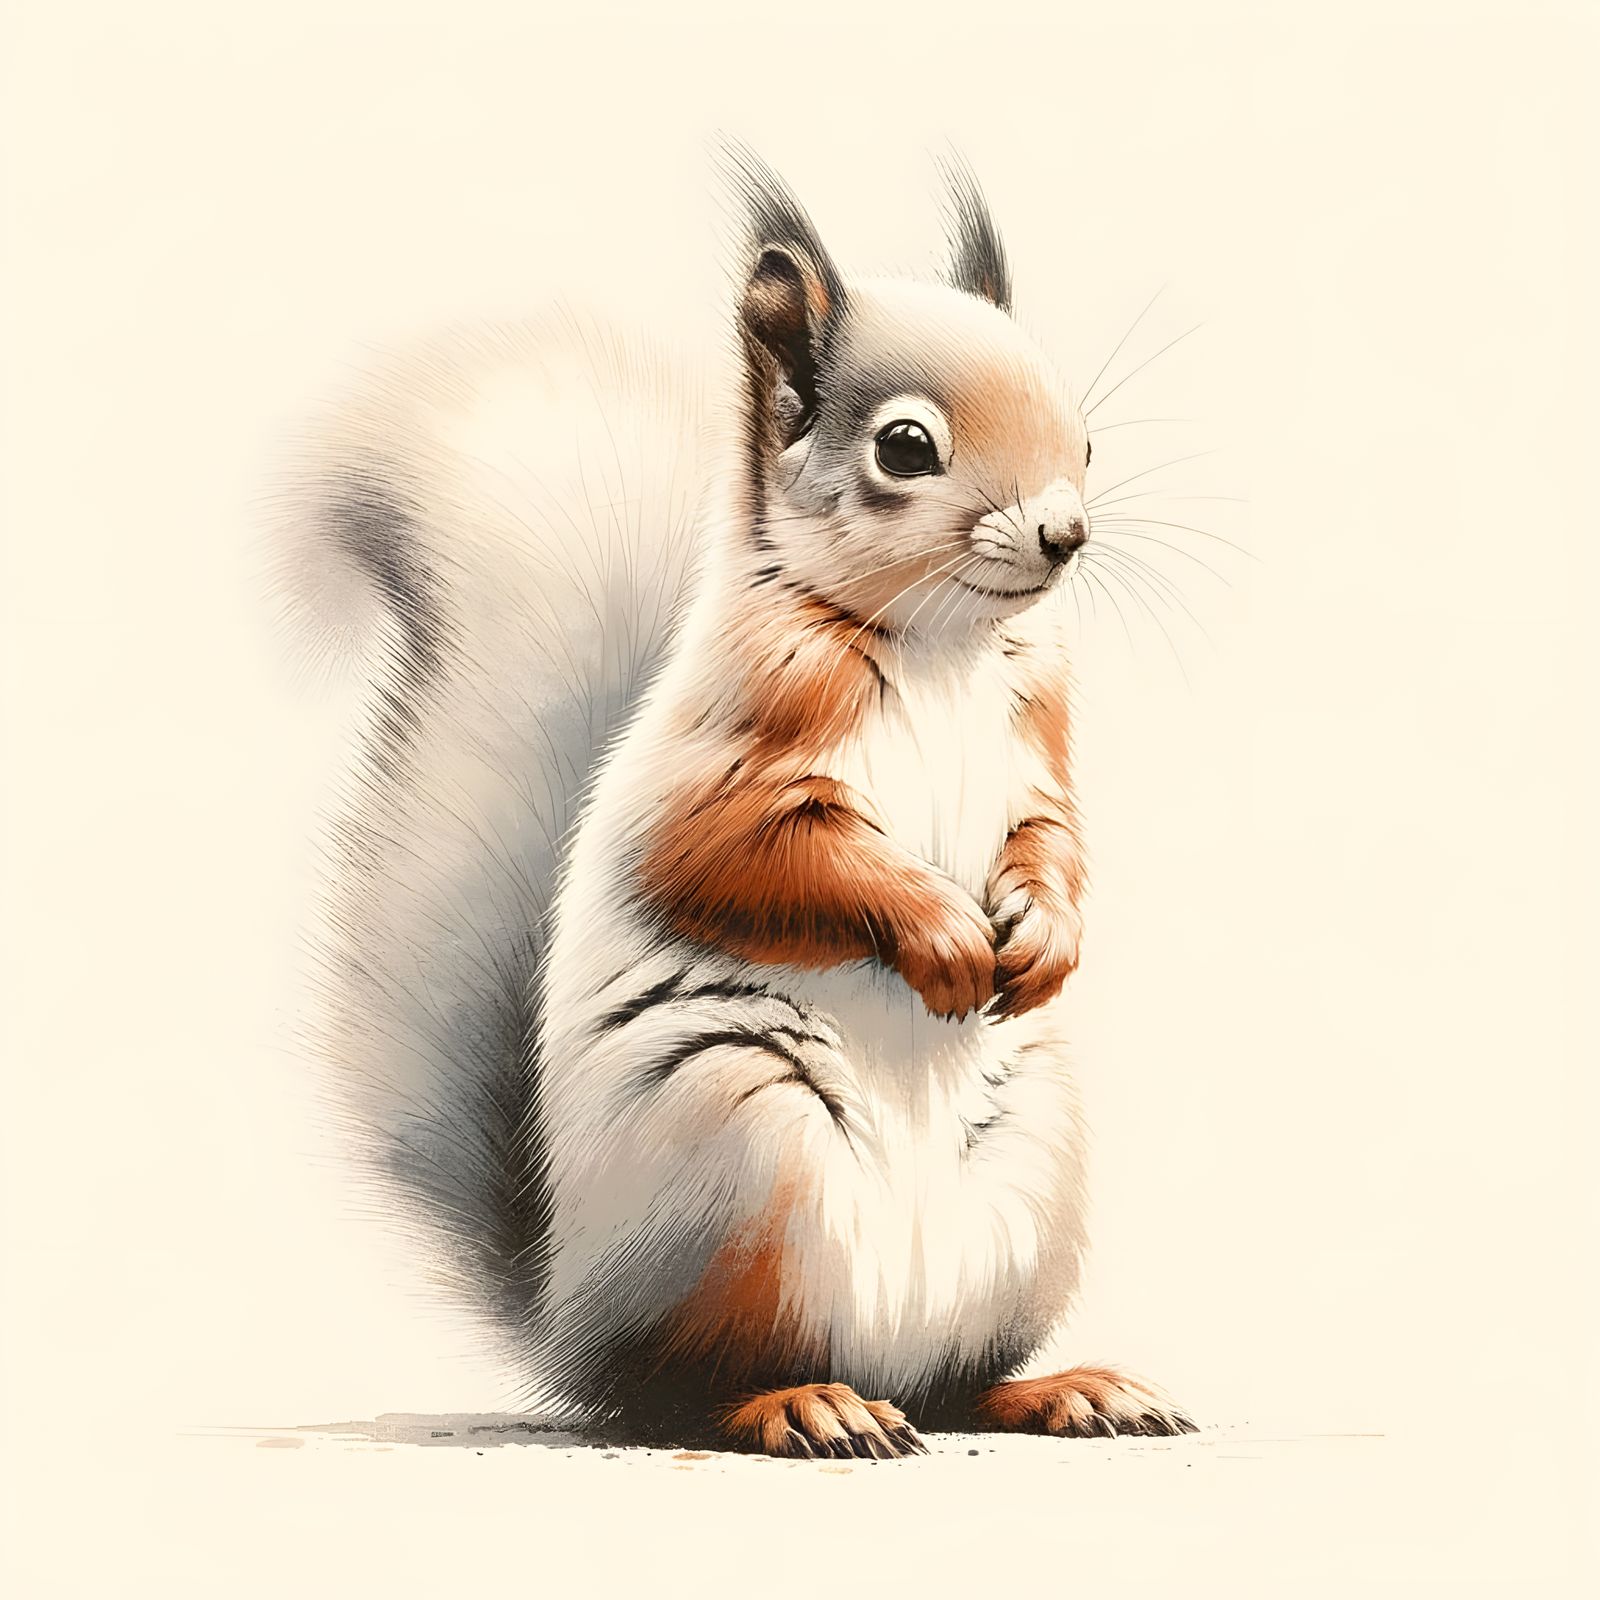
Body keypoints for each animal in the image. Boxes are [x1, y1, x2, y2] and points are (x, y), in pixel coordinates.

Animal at [274, 149, 1196, 1459]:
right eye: (904, 447)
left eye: (1086, 432)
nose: (1065, 533)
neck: (941, 644)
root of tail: (564, 1314)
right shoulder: (722, 763)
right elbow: (748, 860)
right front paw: (943, 936)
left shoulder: (1040, 746)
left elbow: (1051, 837)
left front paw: (1043, 937)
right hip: (745, 1153)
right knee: (674, 1390)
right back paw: (803, 1403)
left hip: (1029, 1175)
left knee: (955, 1378)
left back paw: (1065, 1388)